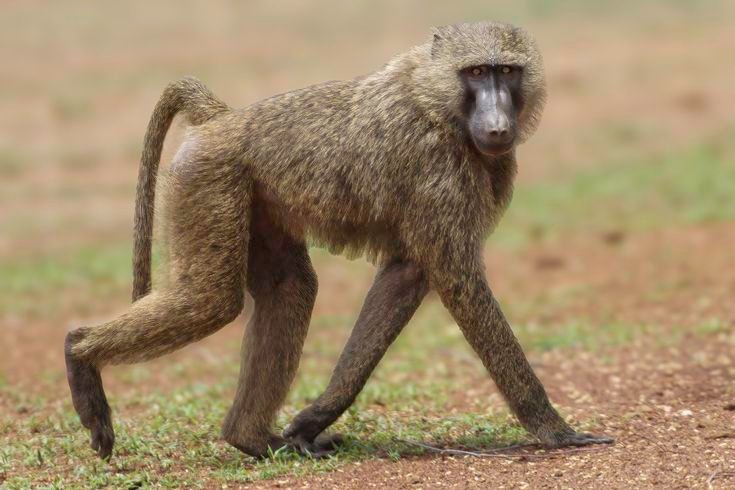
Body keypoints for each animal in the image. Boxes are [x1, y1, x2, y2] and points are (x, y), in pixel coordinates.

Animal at [65, 21, 613, 461]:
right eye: (477, 72)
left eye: (508, 72)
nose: (498, 125)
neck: (435, 100)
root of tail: (223, 119)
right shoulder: (435, 168)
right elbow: (458, 282)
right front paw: (556, 431)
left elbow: (406, 275)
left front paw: (314, 417)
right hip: (210, 179)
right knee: (210, 301)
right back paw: (80, 354)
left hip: (255, 198)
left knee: (289, 288)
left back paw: (252, 439)